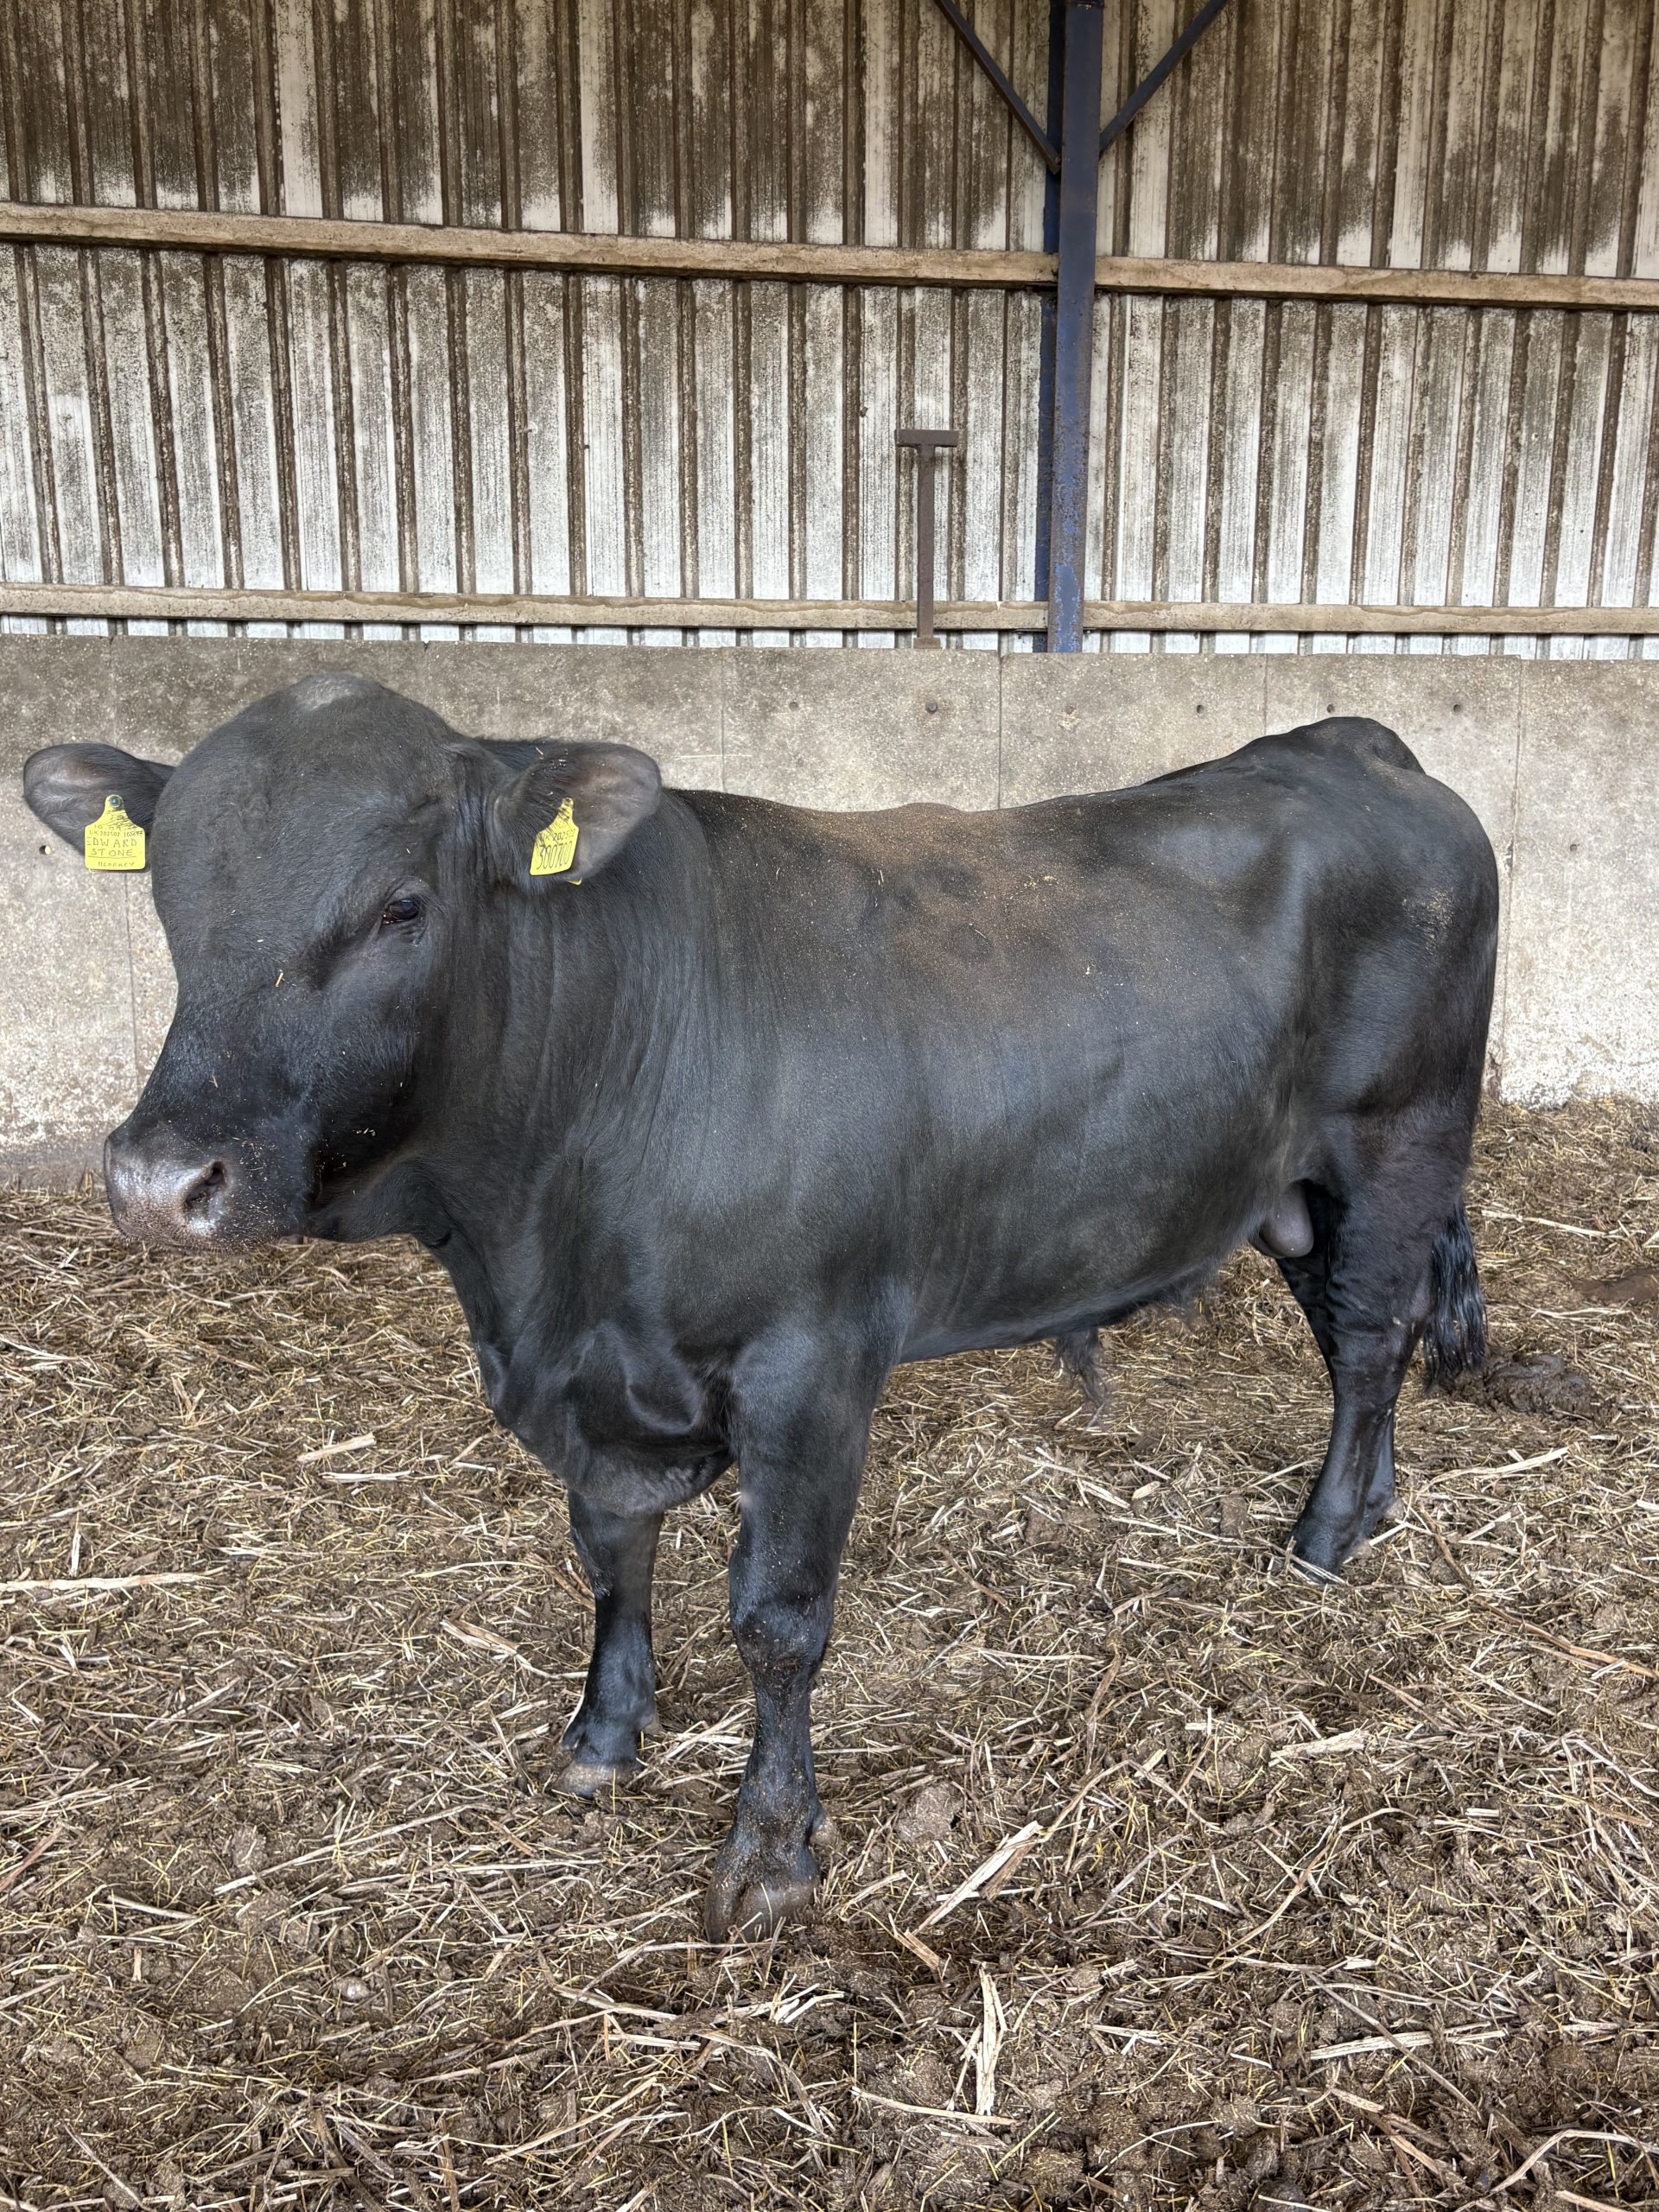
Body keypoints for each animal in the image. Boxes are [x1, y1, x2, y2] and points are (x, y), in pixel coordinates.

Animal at [24, 676, 1497, 1937]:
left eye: (400, 904)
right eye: (168, 895)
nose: (160, 1181)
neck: (537, 1244)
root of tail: (1355, 745)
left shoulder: (811, 1368)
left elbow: (778, 1626)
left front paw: (772, 1852)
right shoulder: (588, 1383)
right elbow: (609, 1552)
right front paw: (602, 1737)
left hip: (1399, 1144)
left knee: (1372, 1341)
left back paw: (1325, 1537)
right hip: (1294, 1188)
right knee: (1358, 1337)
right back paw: (1368, 1505)